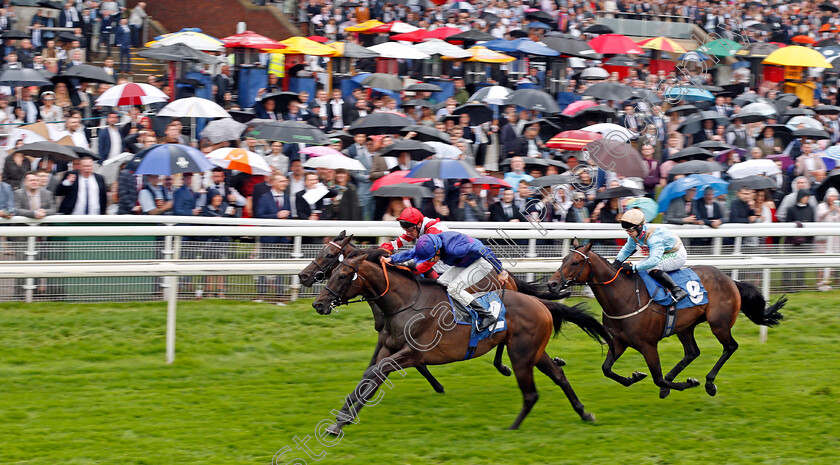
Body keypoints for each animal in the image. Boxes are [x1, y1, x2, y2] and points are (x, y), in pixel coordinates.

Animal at [298, 230, 568, 394]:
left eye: (329, 255)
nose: (303, 276)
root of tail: (507, 275)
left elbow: (414, 363)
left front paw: (437, 386)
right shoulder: (387, 336)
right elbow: (381, 362)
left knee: (498, 332)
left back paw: (507, 364)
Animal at [312, 248, 608, 434]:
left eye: (341, 275)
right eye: (332, 271)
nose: (318, 304)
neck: (405, 303)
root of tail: (540, 304)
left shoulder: (412, 354)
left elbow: (375, 373)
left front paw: (342, 419)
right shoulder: (388, 348)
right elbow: (369, 377)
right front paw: (341, 420)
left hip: (522, 354)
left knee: (532, 392)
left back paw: (513, 426)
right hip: (534, 352)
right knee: (559, 376)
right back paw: (584, 413)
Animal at [544, 241, 788, 396]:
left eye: (575, 263)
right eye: (563, 259)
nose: (552, 284)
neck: (624, 296)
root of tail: (731, 280)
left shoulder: (648, 345)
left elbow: (657, 377)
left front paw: (688, 383)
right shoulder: (620, 341)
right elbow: (606, 369)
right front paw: (634, 377)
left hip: (719, 324)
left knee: (730, 347)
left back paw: (709, 382)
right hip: (685, 326)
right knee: (692, 352)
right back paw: (676, 377)